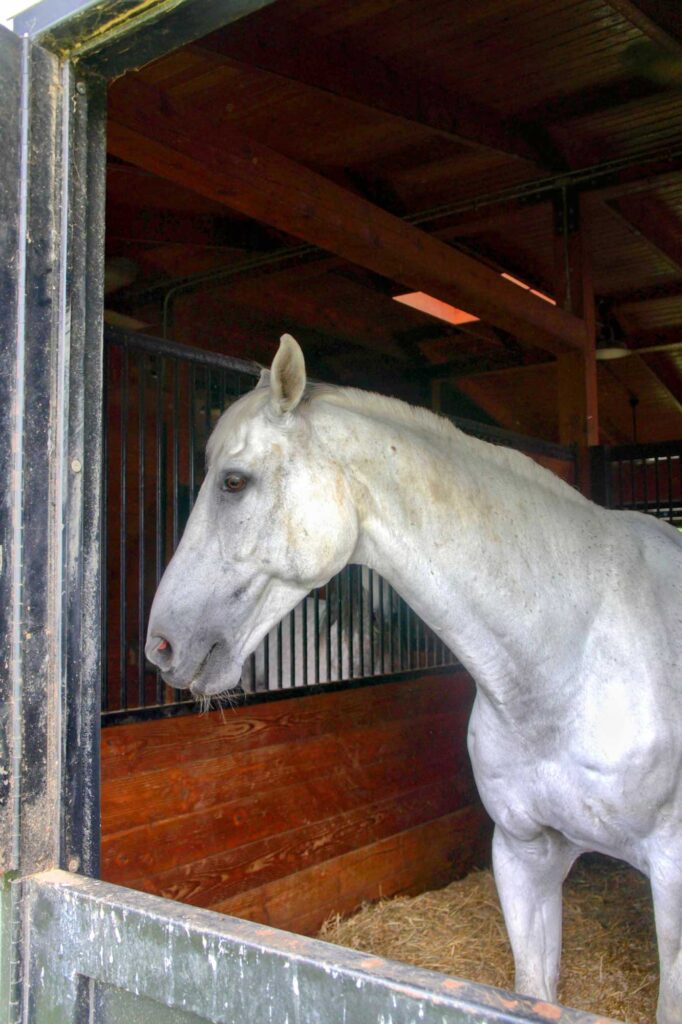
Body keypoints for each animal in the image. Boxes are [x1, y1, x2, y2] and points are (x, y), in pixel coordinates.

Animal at [146, 333, 682, 1023]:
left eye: (233, 482)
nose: (162, 645)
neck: (571, 662)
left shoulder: (672, 877)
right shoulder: (524, 855)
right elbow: (533, 987)